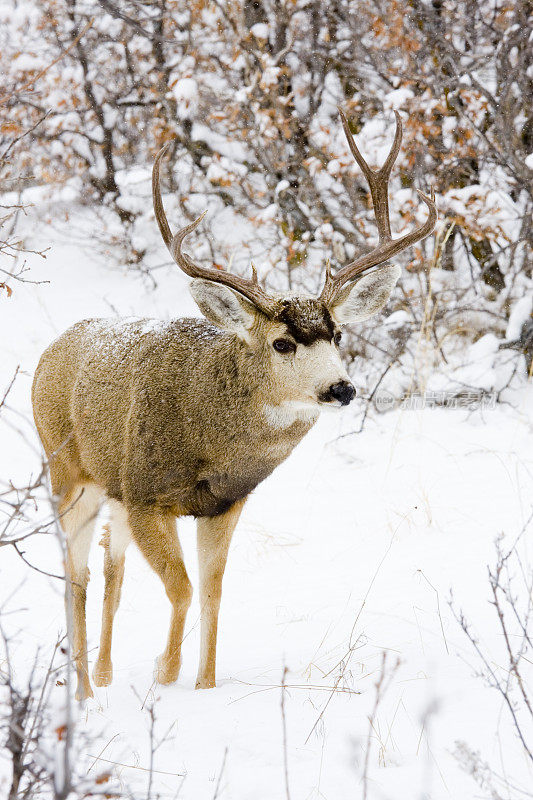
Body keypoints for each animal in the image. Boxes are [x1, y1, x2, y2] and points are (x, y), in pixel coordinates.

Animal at [31, 111, 434, 700]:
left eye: (337, 334)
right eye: (282, 343)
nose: (341, 388)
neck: (208, 437)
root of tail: (50, 351)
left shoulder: (223, 502)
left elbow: (213, 592)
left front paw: (203, 685)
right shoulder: (148, 493)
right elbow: (181, 588)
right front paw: (165, 672)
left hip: (113, 487)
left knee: (111, 567)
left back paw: (101, 677)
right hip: (67, 470)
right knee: (74, 574)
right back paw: (82, 693)